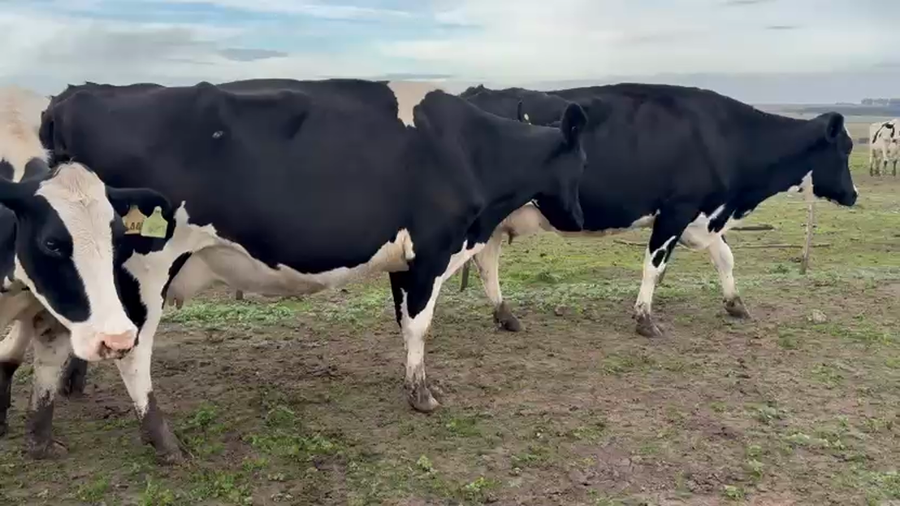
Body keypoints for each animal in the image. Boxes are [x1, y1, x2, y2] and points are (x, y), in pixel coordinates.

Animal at [0, 86, 174, 458]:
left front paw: (40, 445)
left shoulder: (50, 316)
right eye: (51, 243)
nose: (118, 339)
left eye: (119, 236)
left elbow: (44, 376)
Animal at [25, 78, 590, 462]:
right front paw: (423, 395)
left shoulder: (406, 260)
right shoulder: (434, 250)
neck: (469, 149)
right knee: (133, 351)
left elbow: (404, 322)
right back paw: (163, 440)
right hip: (147, 265)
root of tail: (74, 96)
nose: (582, 216)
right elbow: (420, 325)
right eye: (585, 159)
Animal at [457, 83, 858, 338]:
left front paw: (736, 305)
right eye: (846, 149)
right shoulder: (676, 211)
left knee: (486, 265)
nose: (853, 195)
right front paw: (645, 319)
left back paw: (506, 316)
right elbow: (653, 266)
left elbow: (725, 258)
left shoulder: (705, 216)